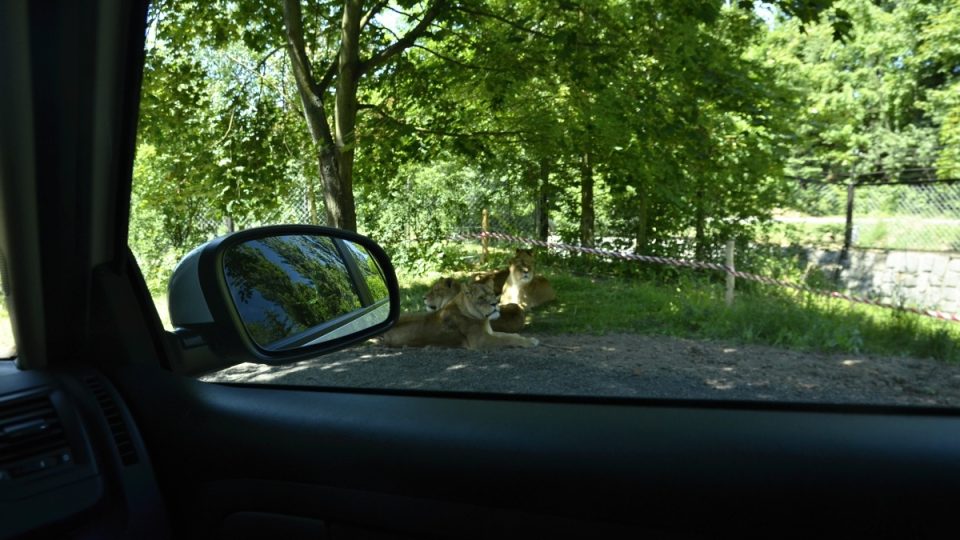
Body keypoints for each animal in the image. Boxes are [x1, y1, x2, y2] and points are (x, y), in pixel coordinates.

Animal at [376, 278, 540, 350]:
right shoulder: (480, 341)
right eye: (481, 298)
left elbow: (511, 335)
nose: (495, 304)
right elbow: (508, 339)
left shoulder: (490, 333)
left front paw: (529, 339)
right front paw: (530, 342)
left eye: (493, 295)